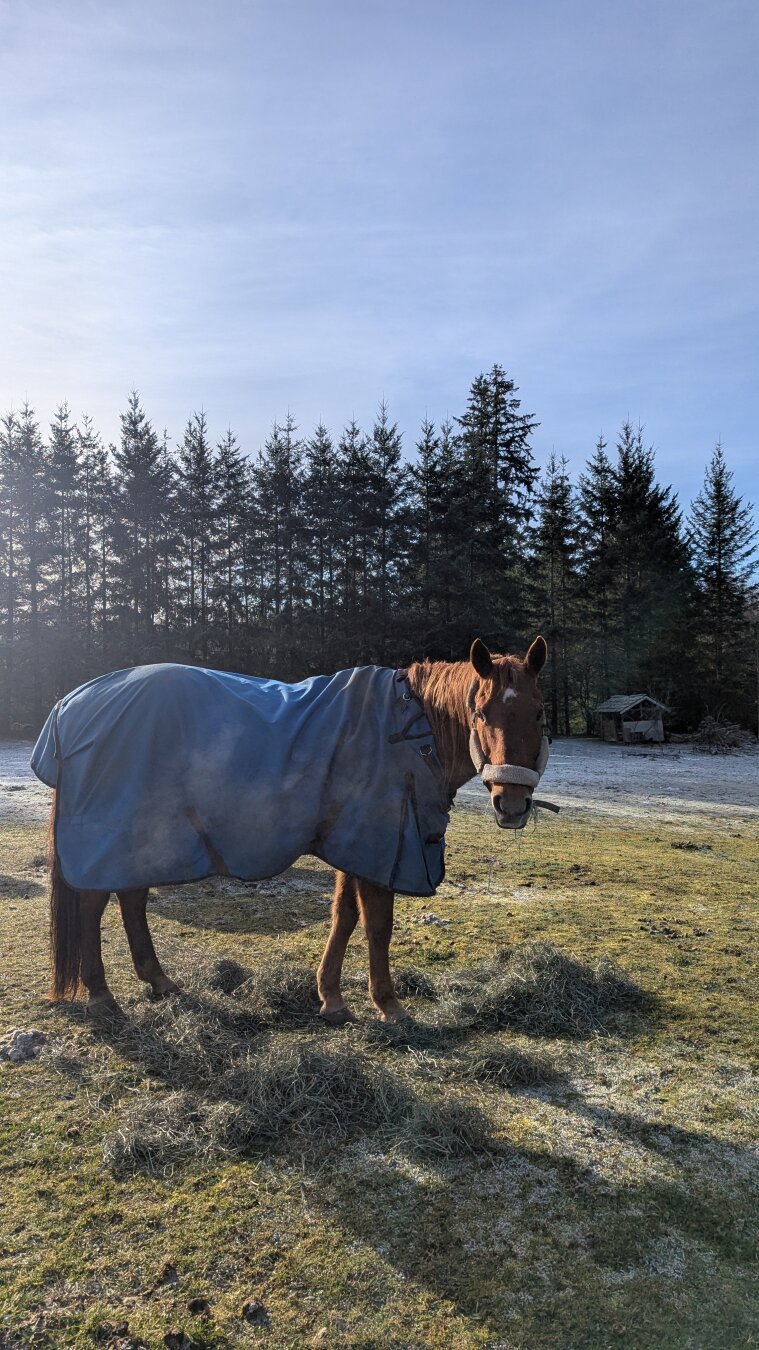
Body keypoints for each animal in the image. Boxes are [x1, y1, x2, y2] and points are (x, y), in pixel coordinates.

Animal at [45, 631, 542, 1020]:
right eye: (481, 713)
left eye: (537, 713)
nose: (512, 804)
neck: (407, 728)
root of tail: (72, 703)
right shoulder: (380, 847)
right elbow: (378, 925)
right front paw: (388, 1004)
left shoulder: (355, 846)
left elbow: (344, 917)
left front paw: (332, 998)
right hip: (115, 839)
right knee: (93, 905)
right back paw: (101, 995)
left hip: (147, 839)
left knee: (131, 899)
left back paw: (159, 981)